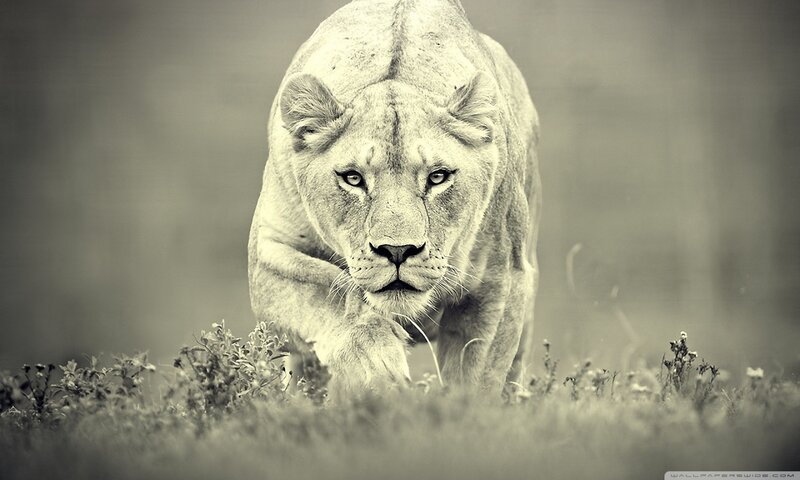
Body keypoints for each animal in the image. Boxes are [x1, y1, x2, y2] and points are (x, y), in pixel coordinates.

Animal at [248, 0, 540, 396]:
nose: (398, 251)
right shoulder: (268, 254)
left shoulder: (501, 280)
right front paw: (379, 372)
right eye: (353, 178)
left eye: (438, 177)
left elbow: (476, 379)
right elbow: (332, 293)